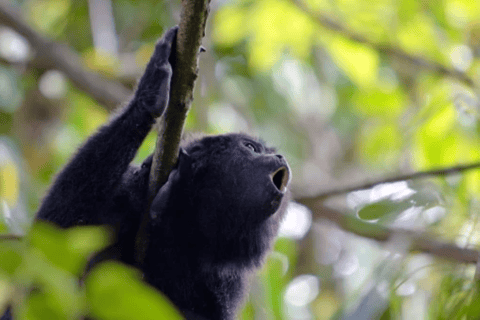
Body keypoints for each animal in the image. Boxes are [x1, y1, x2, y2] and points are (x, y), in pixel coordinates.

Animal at [3, 26, 290, 320]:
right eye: (251, 147)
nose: (280, 157)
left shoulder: (229, 282)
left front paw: (168, 215)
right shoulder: (127, 193)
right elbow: (53, 239)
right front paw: (151, 91)